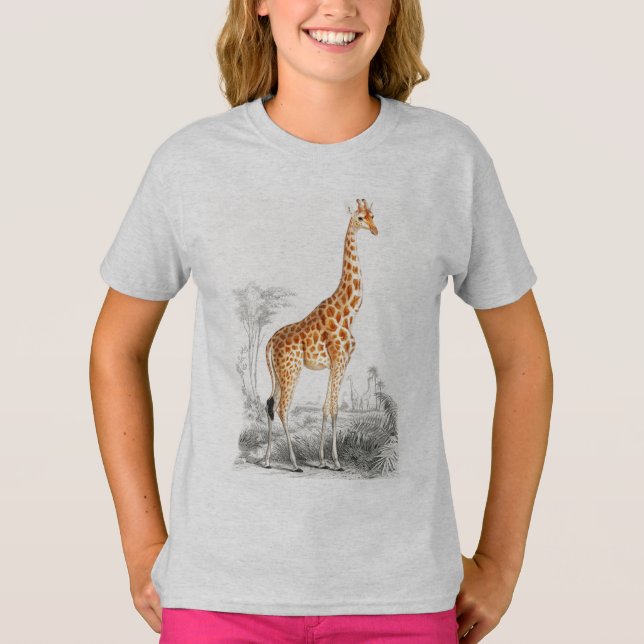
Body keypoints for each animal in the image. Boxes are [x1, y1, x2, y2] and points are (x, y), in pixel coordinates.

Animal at [262, 198, 378, 473]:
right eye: (359, 218)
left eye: (373, 215)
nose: (375, 230)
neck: (348, 311)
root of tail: (269, 343)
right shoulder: (339, 360)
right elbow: (333, 408)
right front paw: (336, 461)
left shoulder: (338, 363)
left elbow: (326, 408)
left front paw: (324, 459)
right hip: (291, 370)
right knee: (282, 408)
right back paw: (294, 463)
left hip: (280, 374)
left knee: (269, 403)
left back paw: (268, 460)